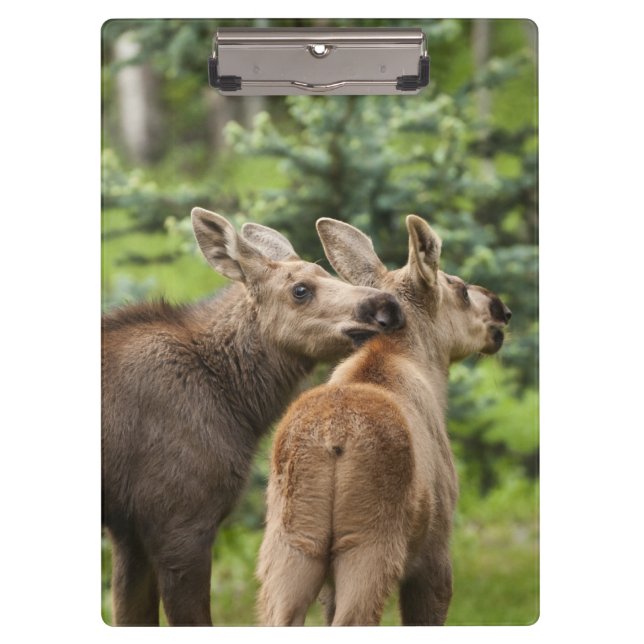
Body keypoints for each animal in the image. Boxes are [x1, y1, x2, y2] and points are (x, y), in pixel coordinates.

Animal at [101, 207, 404, 626]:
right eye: (300, 289)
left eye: (325, 270)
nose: (386, 307)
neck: (239, 404)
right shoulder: (179, 519)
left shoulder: (129, 530)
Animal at [257, 215, 512, 626]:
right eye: (460, 290)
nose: (502, 309)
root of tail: (332, 439)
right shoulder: (435, 549)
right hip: (369, 545)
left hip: (293, 546)